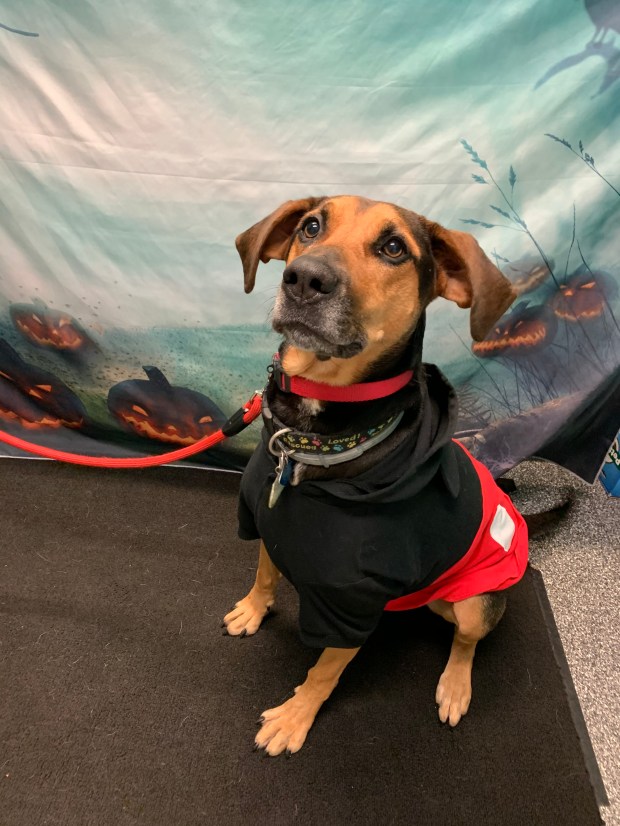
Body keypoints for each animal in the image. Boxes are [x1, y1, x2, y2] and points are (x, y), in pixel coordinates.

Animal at [223, 195, 528, 757]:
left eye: (393, 249)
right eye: (310, 226)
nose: (304, 279)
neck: (310, 441)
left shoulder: (352, 608)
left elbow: (323, 673)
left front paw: (294, 718)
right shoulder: (265, 524)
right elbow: (264, 574)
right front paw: (253, 610)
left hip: (477, 600)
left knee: (467, 640)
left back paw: (456, 685)